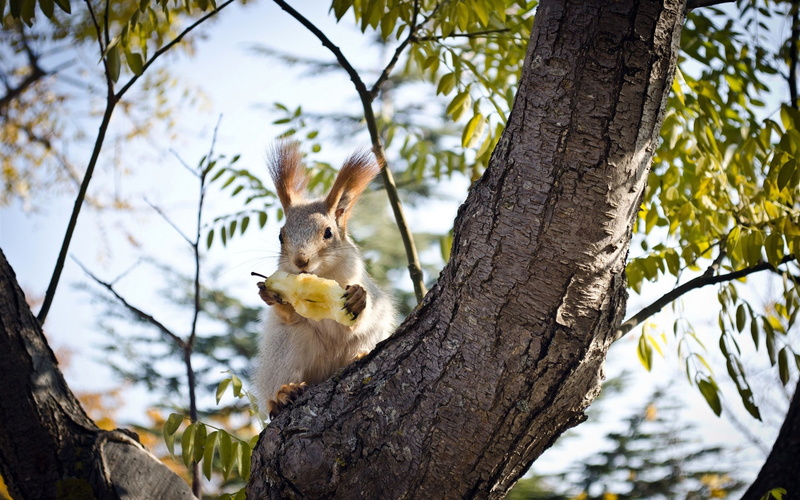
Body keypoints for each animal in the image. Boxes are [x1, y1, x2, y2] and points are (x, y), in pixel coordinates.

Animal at [254, 142, 396, 418]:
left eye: (328, 232)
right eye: (281, 236)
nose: (301, 261)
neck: (322, 275)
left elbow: (354, 321)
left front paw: (357, 299)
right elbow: (290, 316)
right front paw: (269, 295)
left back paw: (357, 356)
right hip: (287, 348)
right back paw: (282, 395)